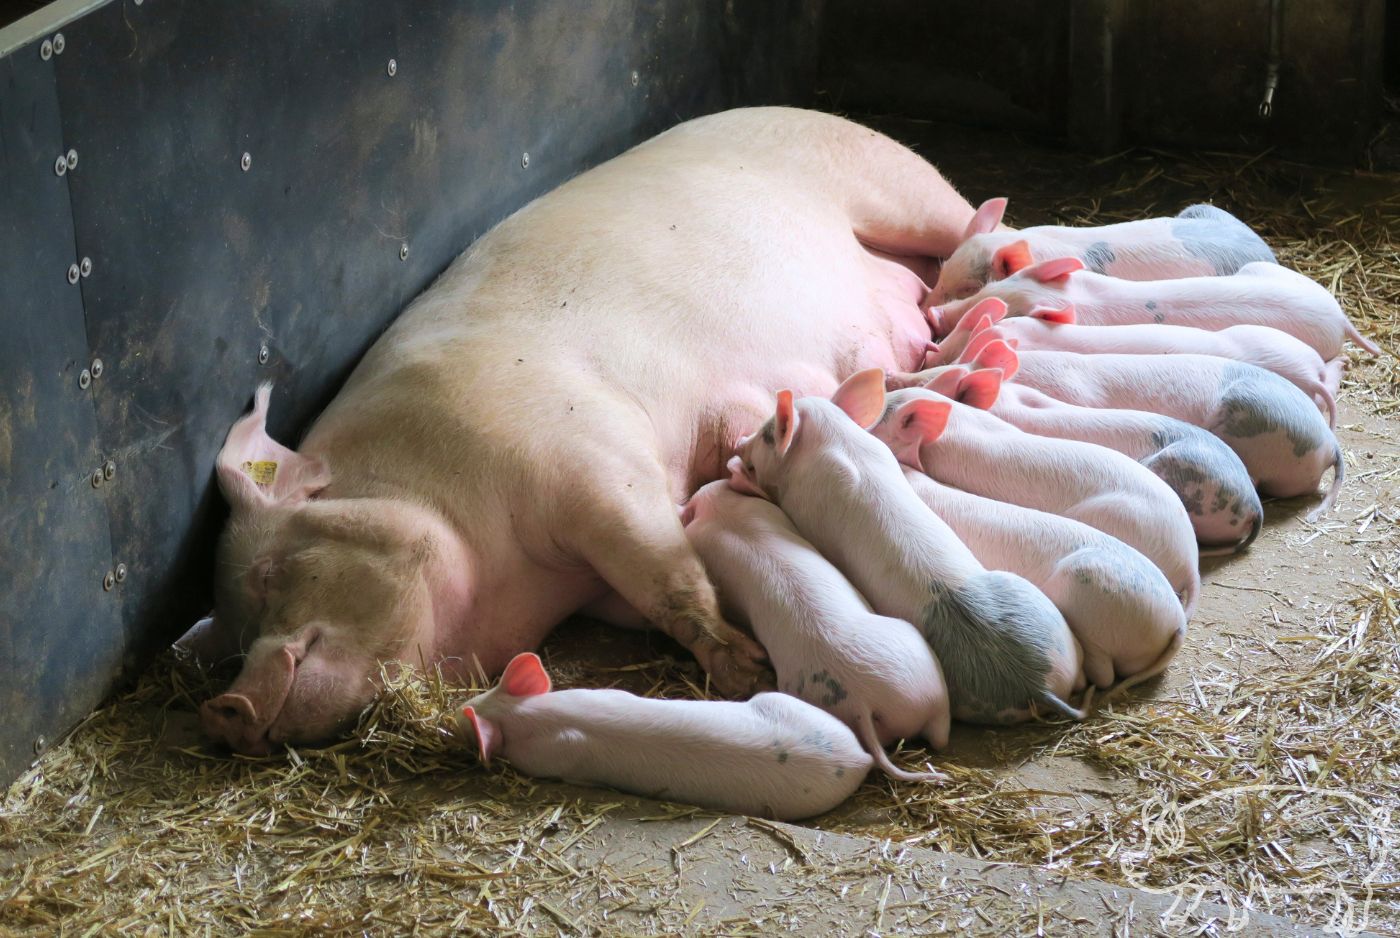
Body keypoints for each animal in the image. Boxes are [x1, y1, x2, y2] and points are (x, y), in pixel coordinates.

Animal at [177, 108, 985, 756]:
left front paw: (743, 667)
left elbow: (663, 571)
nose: (222, 710)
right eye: (231, 634)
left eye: (271, 574)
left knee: (977, 220)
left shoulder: (588, 458)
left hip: (896, 185)